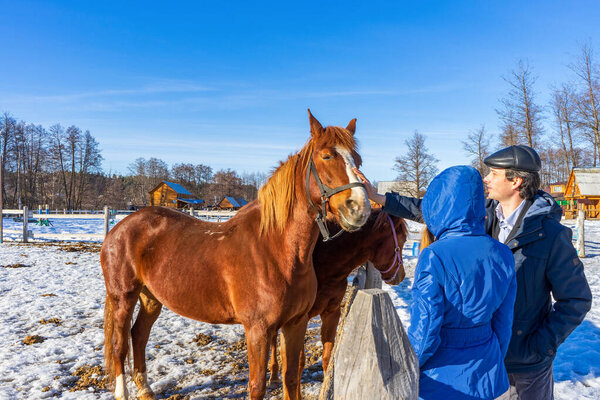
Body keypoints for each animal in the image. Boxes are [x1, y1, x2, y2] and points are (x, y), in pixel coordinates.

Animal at [99, 109, 370, 400]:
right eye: (327, 156)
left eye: (358, 160)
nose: (359, 208)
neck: (277, 250)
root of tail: (118, 229)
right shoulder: (257, 330)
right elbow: (257, 386)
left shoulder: (295, 324)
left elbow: (291, 377)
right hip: (123, 298)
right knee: (119, 344)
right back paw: (123, 392)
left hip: (151, 298)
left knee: (139, 335)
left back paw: (145, 389)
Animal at [268, 208, 408, 382]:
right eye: (403, 239)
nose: (401, 275)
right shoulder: (300, 319)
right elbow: (298, 363)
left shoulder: (332, 312)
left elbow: (328, 358)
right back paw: (274, 374)